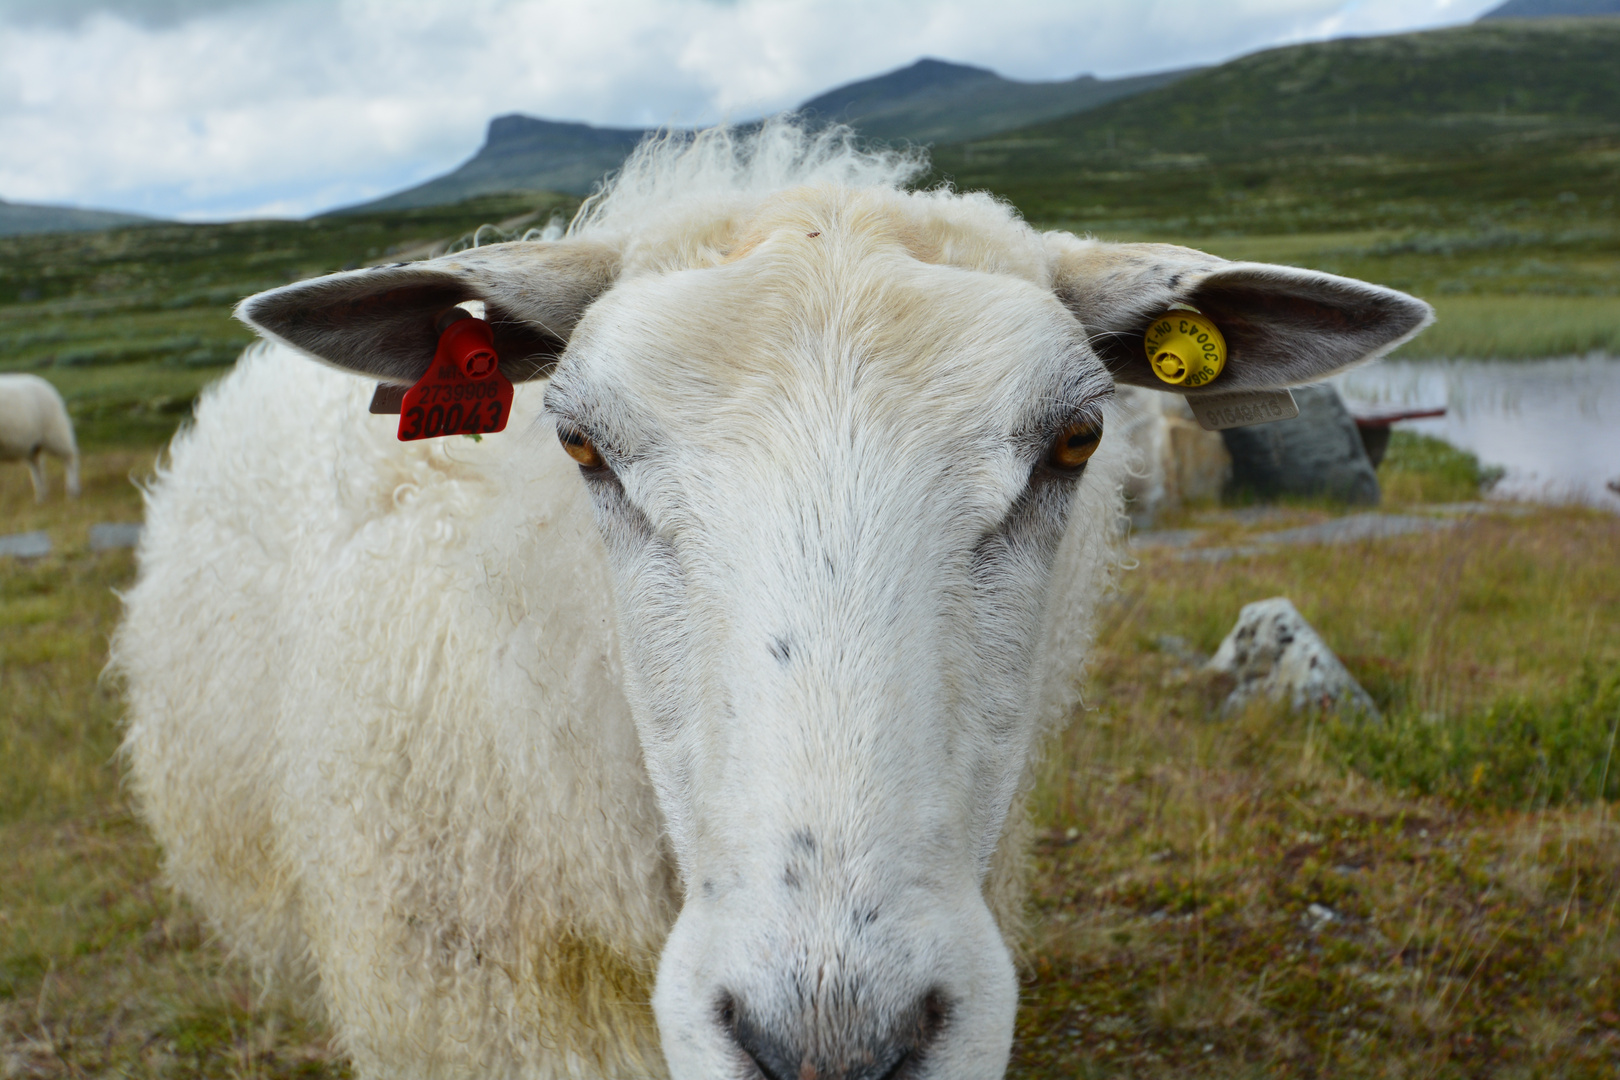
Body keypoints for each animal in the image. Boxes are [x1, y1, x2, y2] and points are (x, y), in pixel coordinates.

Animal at [0, 372, 79, 501]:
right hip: (33, 444)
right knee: (37, 466)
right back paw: (41, 496)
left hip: (54, 432)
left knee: (69, 457)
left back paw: (72, 491)